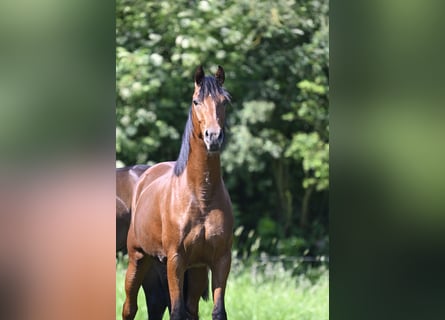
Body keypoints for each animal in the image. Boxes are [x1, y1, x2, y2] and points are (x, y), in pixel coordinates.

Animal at [121, 65, 232, 320]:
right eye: (196, 101)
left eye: (225, 101)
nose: (214, 137)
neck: (201, 197)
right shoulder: (175, 260)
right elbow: (176, 311)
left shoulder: (220, 259)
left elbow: (218, 311)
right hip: (138, 259)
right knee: (130, 308)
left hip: (192, 270)